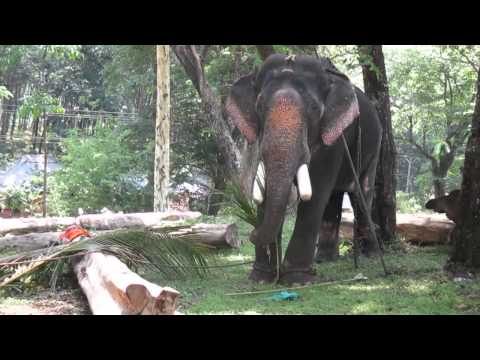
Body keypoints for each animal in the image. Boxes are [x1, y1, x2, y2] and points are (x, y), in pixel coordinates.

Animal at [225, 54, 382, 284]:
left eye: (315, 110)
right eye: (259, 106)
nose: (251, 233)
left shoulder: (333, 138)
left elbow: (314, 196)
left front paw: (297, 279)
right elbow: (266, 192)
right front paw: (261, 278)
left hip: (373, 146)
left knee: (361, 196)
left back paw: (371, 255)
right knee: (334, 197)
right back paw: (324, 259)